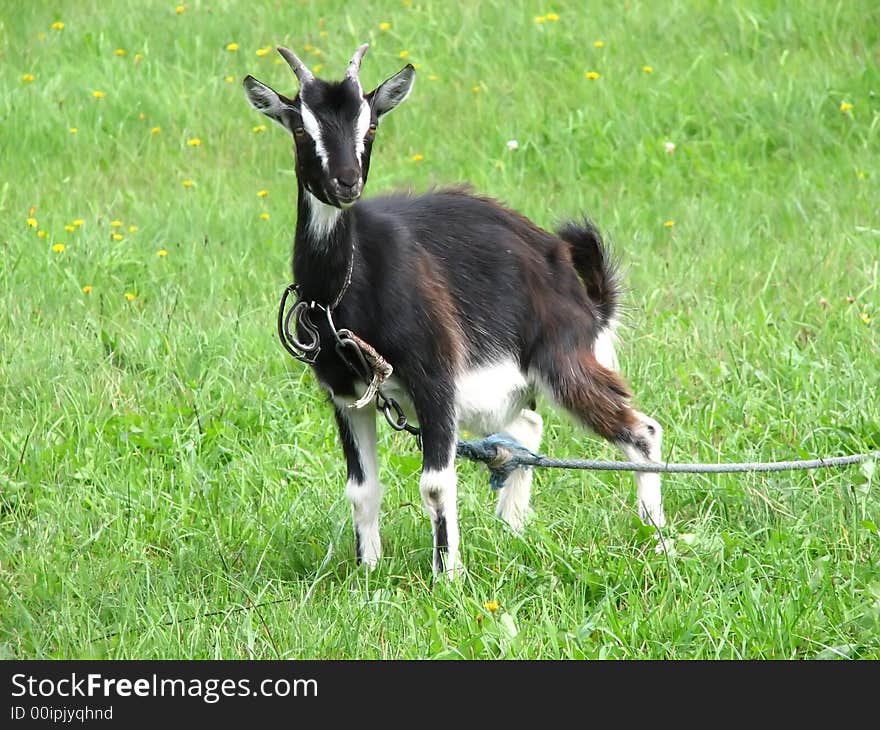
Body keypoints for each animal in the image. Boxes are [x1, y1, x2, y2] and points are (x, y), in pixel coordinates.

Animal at [244, 44, 664, 576]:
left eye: (371, 126)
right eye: (301, 128)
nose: (346, 184)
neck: (346, 289)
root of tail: (572, 277)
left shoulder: (435, 379)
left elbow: (436, 484)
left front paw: (449, 576)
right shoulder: (345, 395)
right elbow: (361, 490)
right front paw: (368, 572)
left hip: (562, 361)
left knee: (641, 431)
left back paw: (657, 538)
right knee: (527, 428)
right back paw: (512, 530)